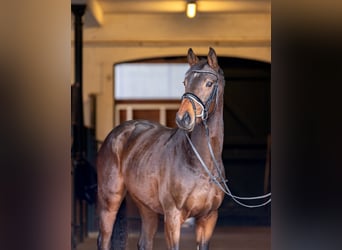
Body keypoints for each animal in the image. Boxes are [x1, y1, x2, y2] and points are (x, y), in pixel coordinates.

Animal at [97, 47, 224, 249]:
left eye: (209, 83)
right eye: (185, 82)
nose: (183, 118)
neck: (201, 164)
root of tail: (115, 134)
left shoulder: (208, 218)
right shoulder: (173, 217)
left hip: (146, 206)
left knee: (144, 242)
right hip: (110, 200)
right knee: (105, 238)